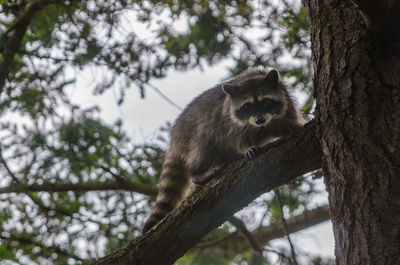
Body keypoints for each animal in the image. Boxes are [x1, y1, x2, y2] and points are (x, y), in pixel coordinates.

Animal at [142, 69, 304, 232]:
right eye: (247, 106)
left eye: (266, 102)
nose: (260, 120)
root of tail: (176, 136)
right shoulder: (228, 120)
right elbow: (237, 138)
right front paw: (246, 147)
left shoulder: (287, 104)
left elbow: (289, 120)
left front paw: (290, 127)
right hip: (195, 135)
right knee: (203, 144)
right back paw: (198, 173)